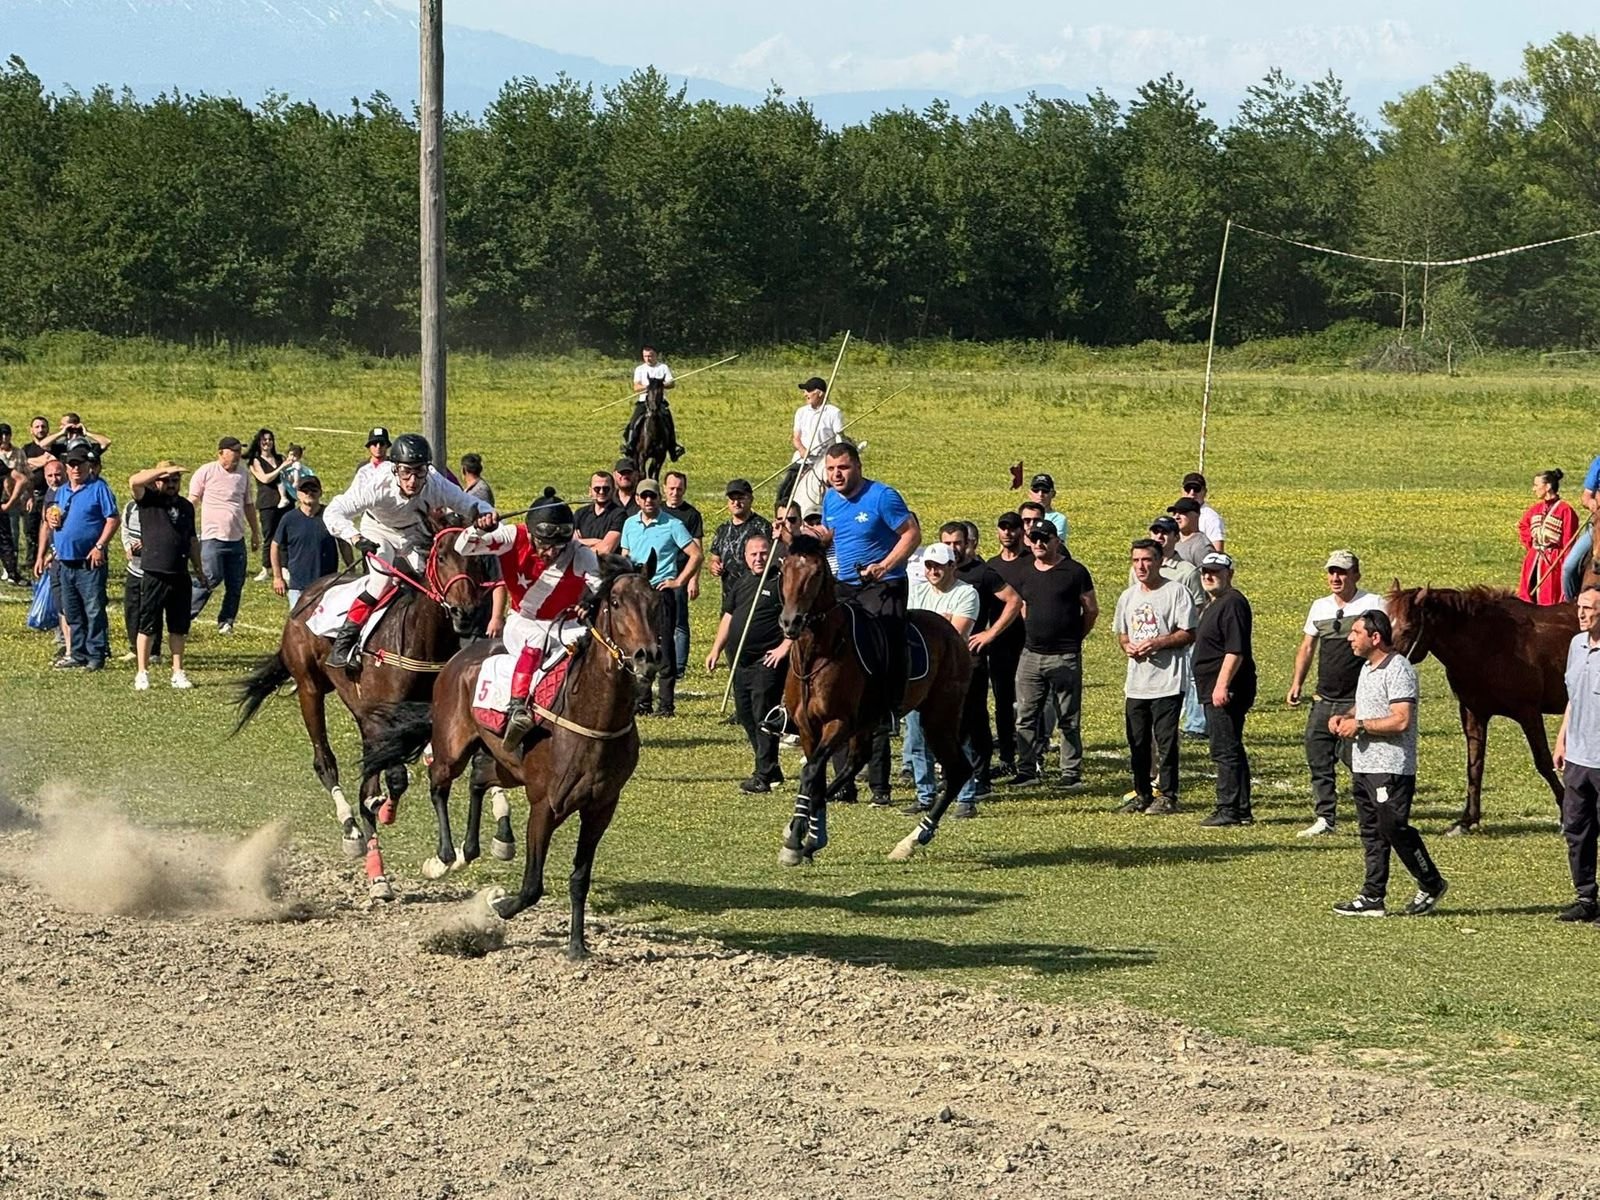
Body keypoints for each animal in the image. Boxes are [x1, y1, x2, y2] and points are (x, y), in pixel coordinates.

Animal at [233, 512, 494, 898]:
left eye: (477, 560)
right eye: (443, 556)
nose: (467, 613)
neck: (420, 639)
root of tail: (307, 595)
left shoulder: (421, 719)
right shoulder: (376, 716)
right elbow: (393, 778)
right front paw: (379, 810)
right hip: (310, 688)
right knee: (325, 762)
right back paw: (354, 833)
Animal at [361, 553, 663, 959]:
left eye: (656, 602)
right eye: (616, 603)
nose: (649, 657)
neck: (593, 716)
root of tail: (462, 654)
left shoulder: (601, 807)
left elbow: (579, 878)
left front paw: (577, 946)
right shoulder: (545, 805)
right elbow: (532, 885)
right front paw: (501, 905)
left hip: (507, 765)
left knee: (478, 778)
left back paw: (472, 847)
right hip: (452, 747)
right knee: (439, 784)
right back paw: (444, 856)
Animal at [776, 535, 974, 864]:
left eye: (816, 574)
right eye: (784, 571)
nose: (791, 622)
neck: (817, 653)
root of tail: (954, 634)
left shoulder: (838, 722)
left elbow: (811, 771)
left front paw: (797, 841)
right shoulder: (807, 727)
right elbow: (814, 775)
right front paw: (807, 834)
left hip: (938, 718)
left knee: (959, 770)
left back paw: (912, 840)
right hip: (871, 722)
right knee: (857, 760)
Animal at [1385, 582, 1575, 834]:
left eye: (1407, 629)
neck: (1492, 643)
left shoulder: (1528, 712)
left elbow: (1544, 761)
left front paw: (1565, 813)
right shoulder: (1473, 712)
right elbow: (1474, 765)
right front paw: (1467, 820)